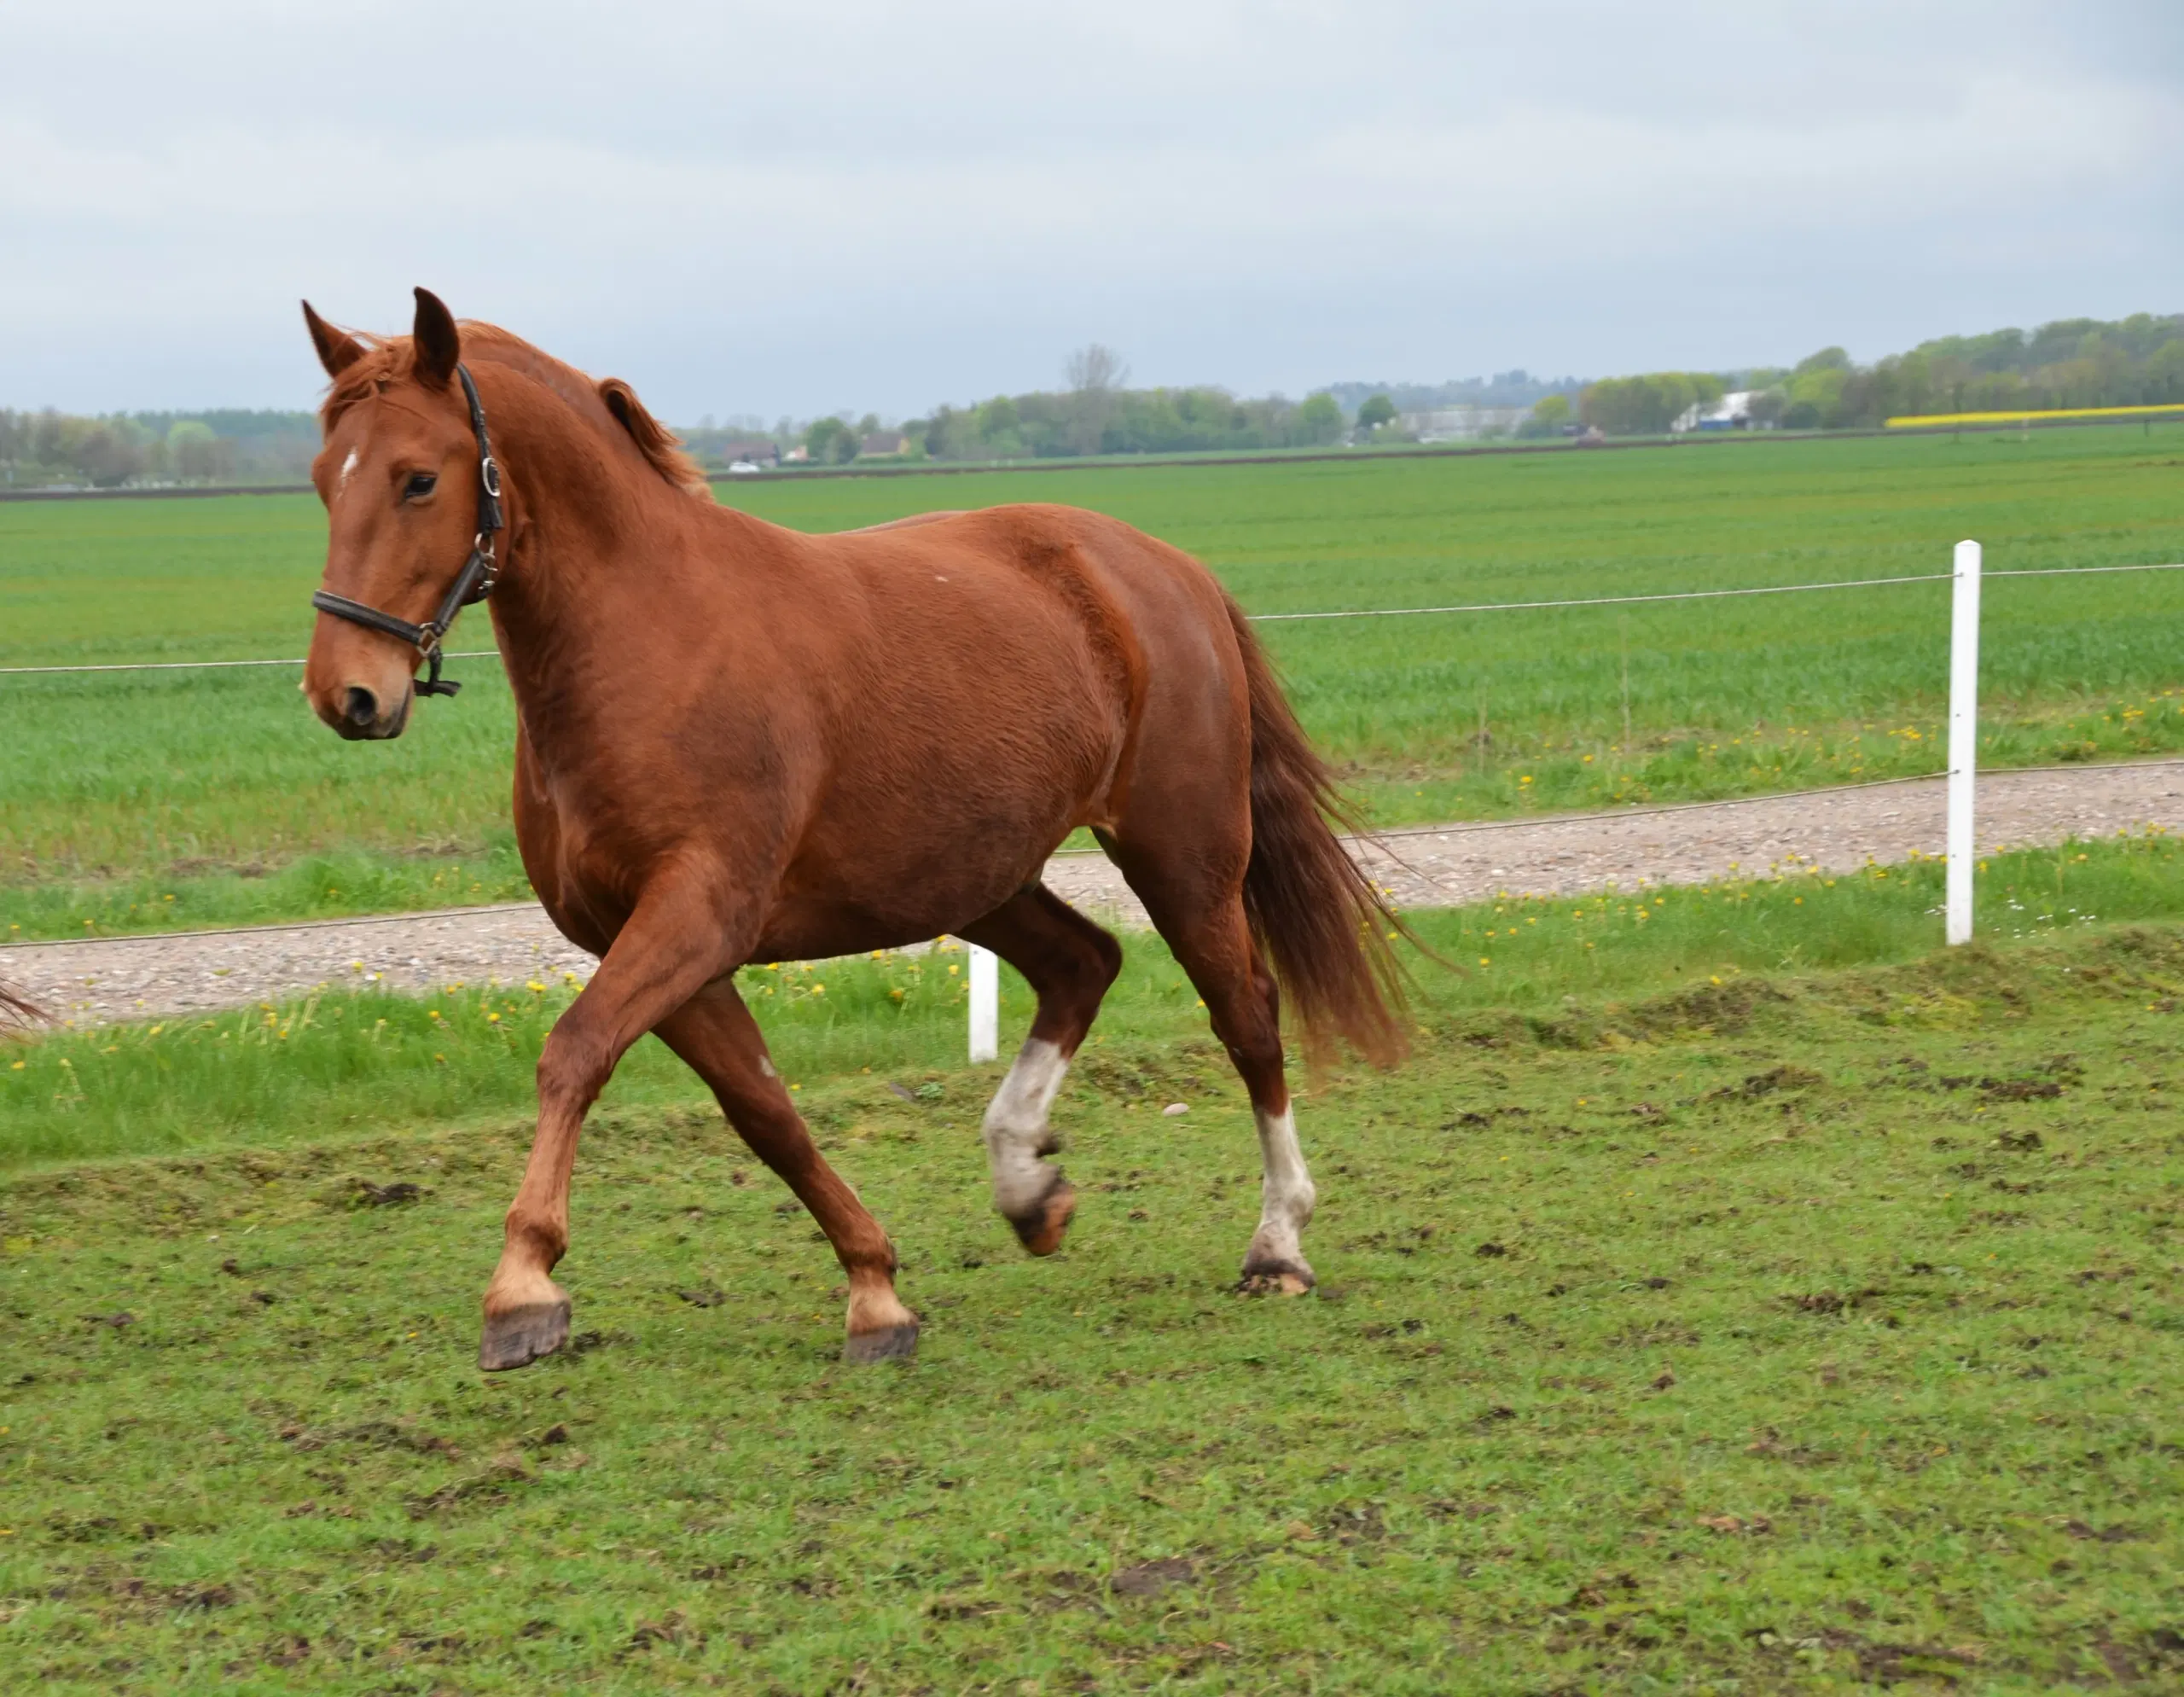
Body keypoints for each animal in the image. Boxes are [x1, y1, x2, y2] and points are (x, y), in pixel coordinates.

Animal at [303, 290, 1397, 1371]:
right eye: (322, 480)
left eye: (418, 479)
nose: (347, 695)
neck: (647, 641)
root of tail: (1168, 570)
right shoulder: (653, 941)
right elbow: (765, 1112)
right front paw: (876, 1291)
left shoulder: (697, 912)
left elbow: (574, 1052)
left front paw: (523, 1288)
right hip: (975, 879)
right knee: (1082, 963)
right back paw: (1027, 1187)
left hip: (1182, 855)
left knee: (1246, 1016)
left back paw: (1277, 1245)